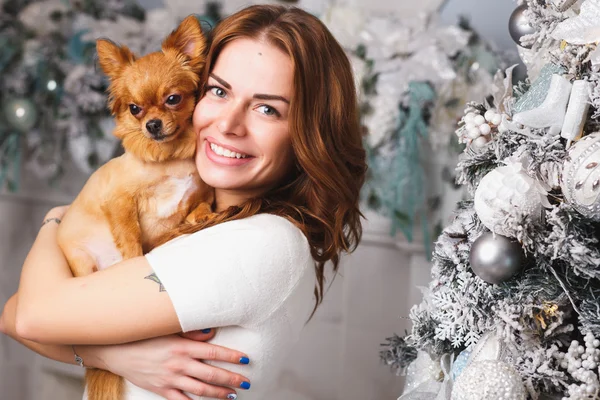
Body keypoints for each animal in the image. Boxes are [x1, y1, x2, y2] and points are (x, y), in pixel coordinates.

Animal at [54, 15, 213, 400]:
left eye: (173, 99)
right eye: (134, 109)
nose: (151, 125)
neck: (169, 161)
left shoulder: (197, 190)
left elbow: (198, 202)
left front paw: (201, 215)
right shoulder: (120, 201)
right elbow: (129, 235)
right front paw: (133, 256)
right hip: (81, 262)